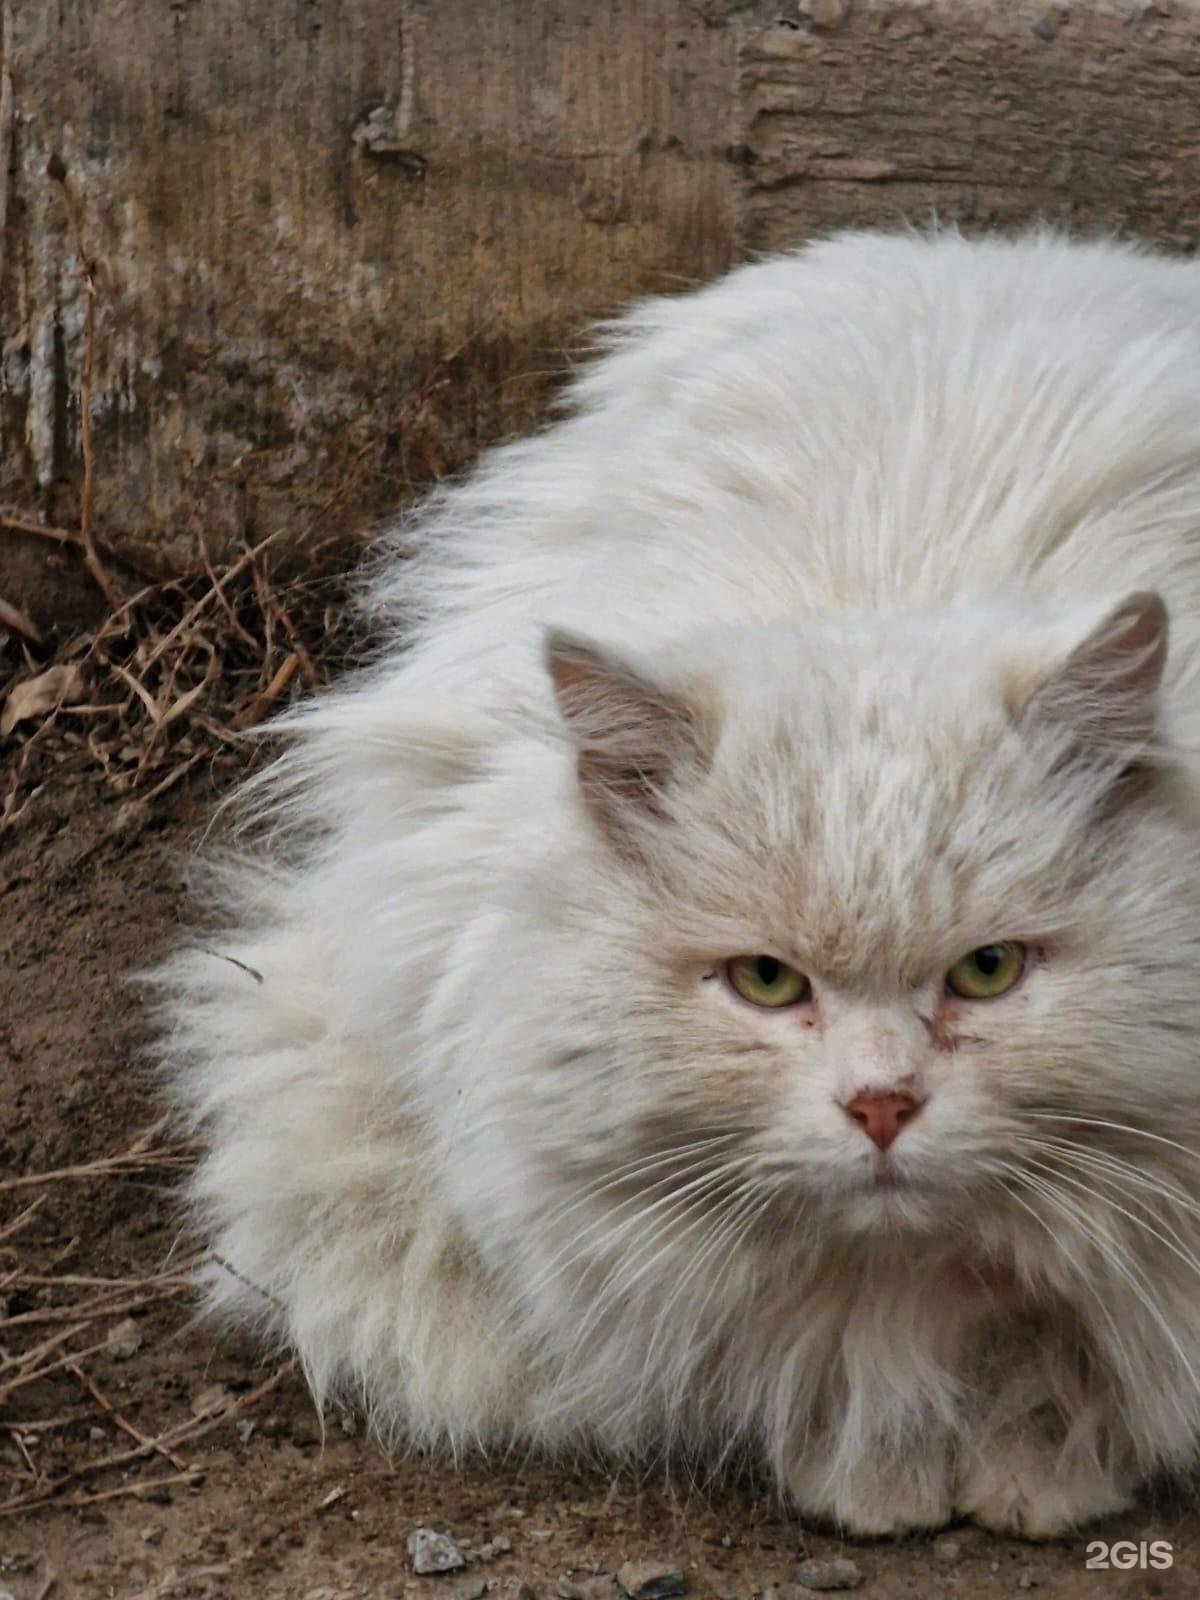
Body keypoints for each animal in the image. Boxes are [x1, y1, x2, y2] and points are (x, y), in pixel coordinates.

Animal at [162, 228, 1200, 1536]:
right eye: (764, 982)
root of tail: (993, 249)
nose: (881, 1108)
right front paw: (880, 1475)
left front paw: (1032, 1467)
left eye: (989, 970)